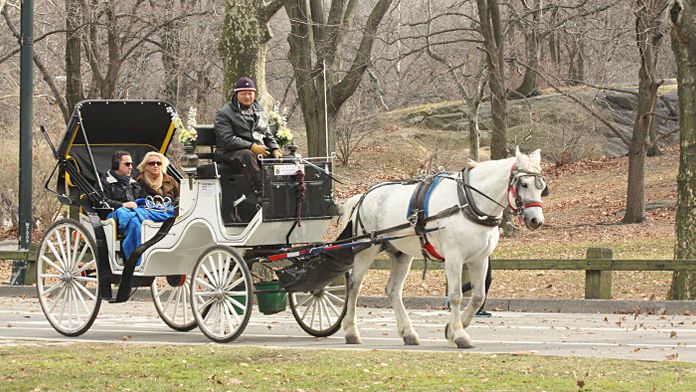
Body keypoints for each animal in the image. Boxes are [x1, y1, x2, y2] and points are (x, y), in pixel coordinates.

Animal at [340, 148, 548, 350]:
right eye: (524, 184)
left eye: (541, 186)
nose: (536, 220)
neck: (469, 202)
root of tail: (363, 196)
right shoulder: (454, 257)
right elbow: (455, 296)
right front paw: (460, 335)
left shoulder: (479, 259)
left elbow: (478, 296)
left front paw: (452, 329)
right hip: (366, 249)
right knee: (354, 287)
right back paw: (351, 332)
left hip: (401, 254)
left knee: (393, 290)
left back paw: (408, 333)